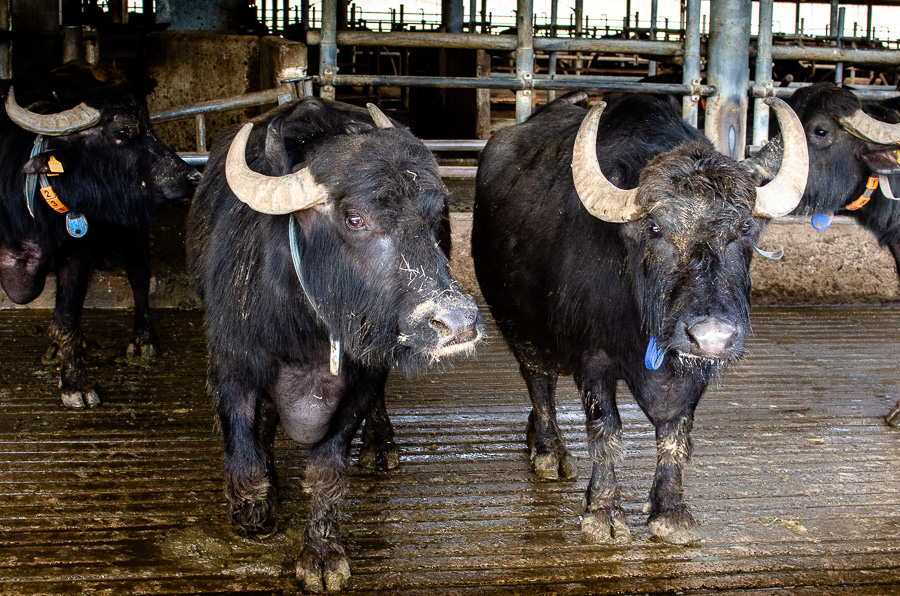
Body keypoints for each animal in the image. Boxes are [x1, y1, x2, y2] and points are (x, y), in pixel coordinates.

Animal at [0, 60, 199, 408]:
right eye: (123, 132)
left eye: (151, 128)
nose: (192, 177)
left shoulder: (77, 254)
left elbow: (68, 317)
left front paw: (75, 384)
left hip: (134, 227)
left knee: (139, 275)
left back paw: (143, 341)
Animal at [184, 98, 488, 592]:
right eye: (355, 218)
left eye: (434, 217)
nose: (458, 322)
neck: (307, 333)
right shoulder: (232, 365)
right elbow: (245, 452)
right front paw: (254, 510)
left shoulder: (359, 383)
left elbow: (326, 470)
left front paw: (322, 554)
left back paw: (382, 446)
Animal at [472, 92, 808, 544]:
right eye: (655, 229)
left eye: (744, 230)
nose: (712, 336)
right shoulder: (592, 357)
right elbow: (606, 429)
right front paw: (603, 512)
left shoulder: (694, 371)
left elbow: (675, 433)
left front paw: (671, 510)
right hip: (520, 325)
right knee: (539, 382)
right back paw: (548, 451)